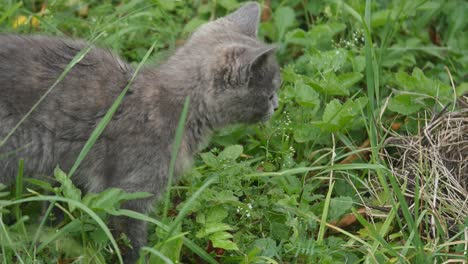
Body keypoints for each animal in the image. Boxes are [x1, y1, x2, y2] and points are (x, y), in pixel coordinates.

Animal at [0, 2, 282, 262]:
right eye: (269, 94)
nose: (278, 106)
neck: (179, 110)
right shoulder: (131, 191)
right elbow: (131, 239)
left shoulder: (68, 172)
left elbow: (57, 208)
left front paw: (47, 240)